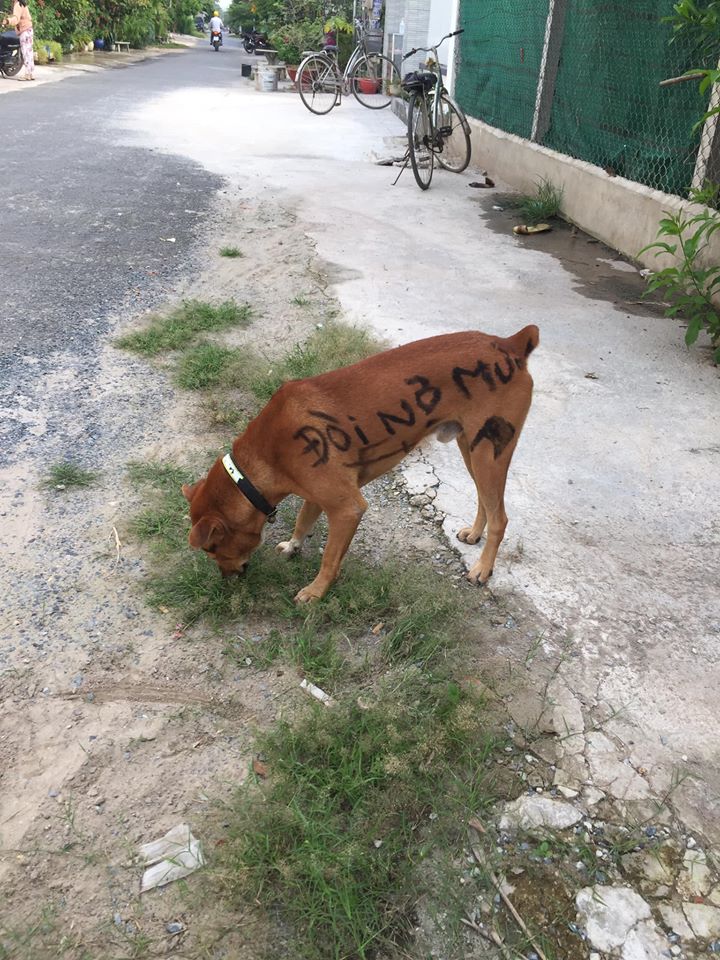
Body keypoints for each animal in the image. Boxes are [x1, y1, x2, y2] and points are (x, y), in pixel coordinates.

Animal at [183, 326, 536, 604]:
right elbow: (302, 522)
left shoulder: (346, 509)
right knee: (485, 502)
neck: (258, 464)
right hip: (472, 450)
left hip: (489, 454)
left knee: (500, 517)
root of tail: (510, 344)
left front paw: (316, 591)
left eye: (212, 549)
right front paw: (294, 547)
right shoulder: (316, 495)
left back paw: (483, 568)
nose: (227, 579)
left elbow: (329, 558)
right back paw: (475, 534)